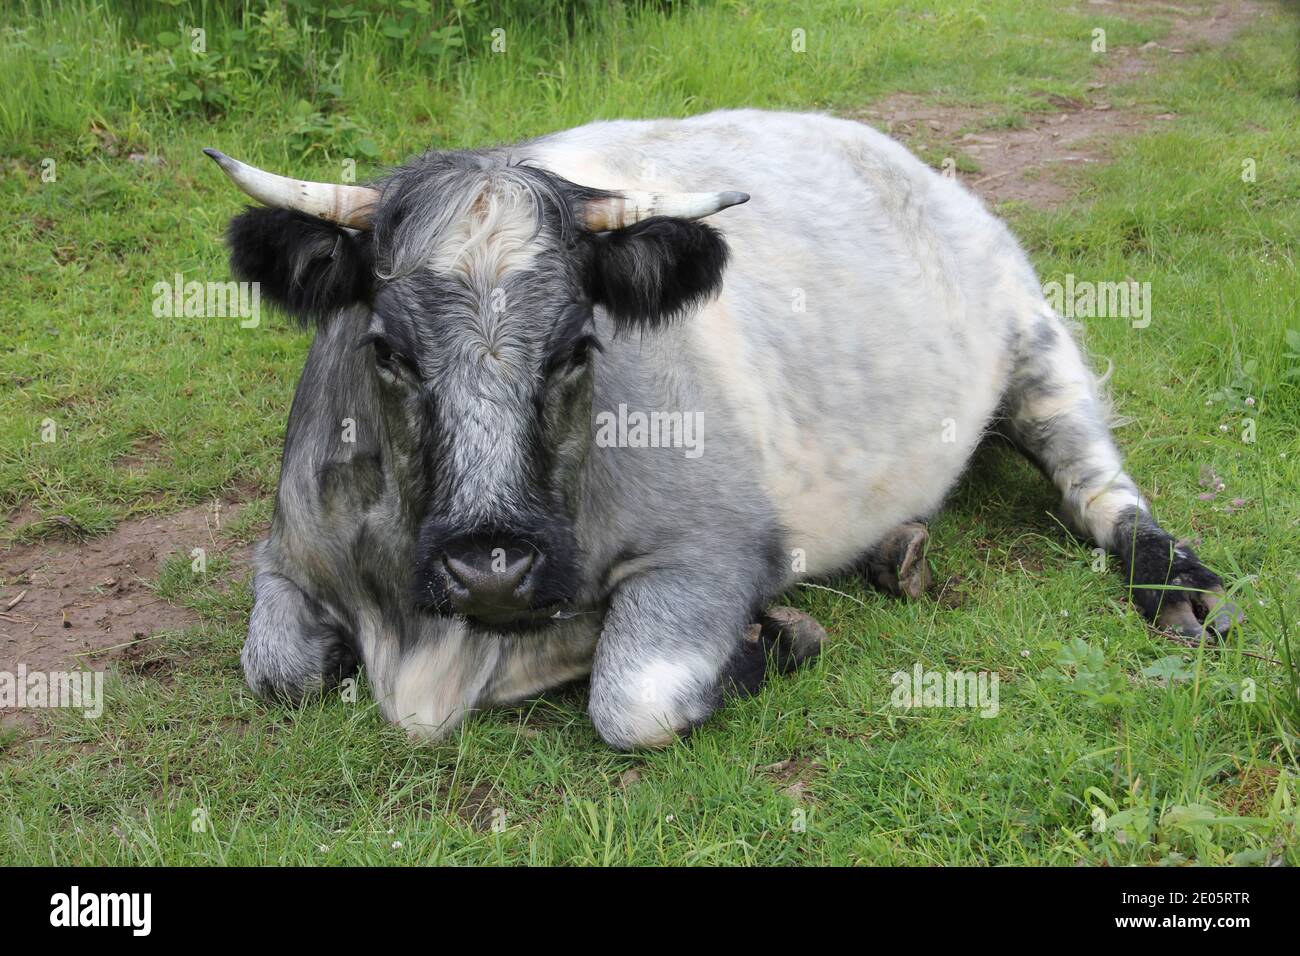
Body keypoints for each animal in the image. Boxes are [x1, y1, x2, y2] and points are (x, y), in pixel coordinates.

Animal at [205, 108, 1237, 749]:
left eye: (579, 345)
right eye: (386, 350)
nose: (490, 565)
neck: (428, 647)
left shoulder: (713, 549)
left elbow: (631, 695)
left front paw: (774, 634)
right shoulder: (287, 554)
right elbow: (277, 667)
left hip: (1036, 339)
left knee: (1098, 486)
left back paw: (1173, 584)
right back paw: (891, 551)